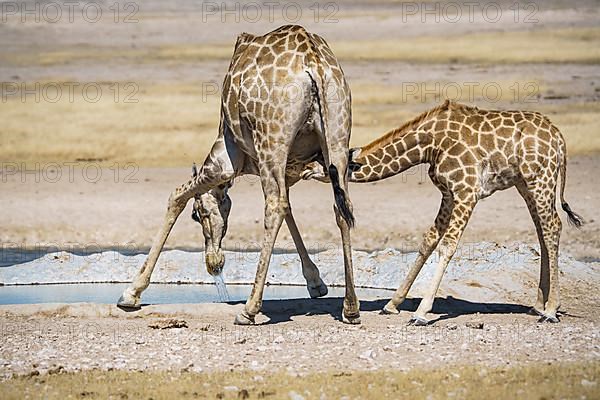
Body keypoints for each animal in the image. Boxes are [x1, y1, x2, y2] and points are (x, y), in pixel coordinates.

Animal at [117, 24, 360, 324]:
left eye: (197, 215)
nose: (214, 265)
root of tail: (314, 66)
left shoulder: (225, 158)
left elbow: (176, 196)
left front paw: (131, 293)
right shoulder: (290, 168)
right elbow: (292, 210)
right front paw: (316, 283)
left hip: (272, 141)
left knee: (274, 207)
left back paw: (249, 309)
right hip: (337, 139)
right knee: (341, 207)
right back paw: (350, 307)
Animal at [302, 99, 584, 324]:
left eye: (322, 163)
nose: (301, 168)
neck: (429, 145)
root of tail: (560, 138)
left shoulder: (467, 191)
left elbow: (448, 245)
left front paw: (421, 313)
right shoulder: (448, 194)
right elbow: (428, 240)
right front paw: (392, 304)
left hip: (540, 180)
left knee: (552, 227)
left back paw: (550, 310)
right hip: (525, 185)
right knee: (542, 230)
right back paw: (538, 305)